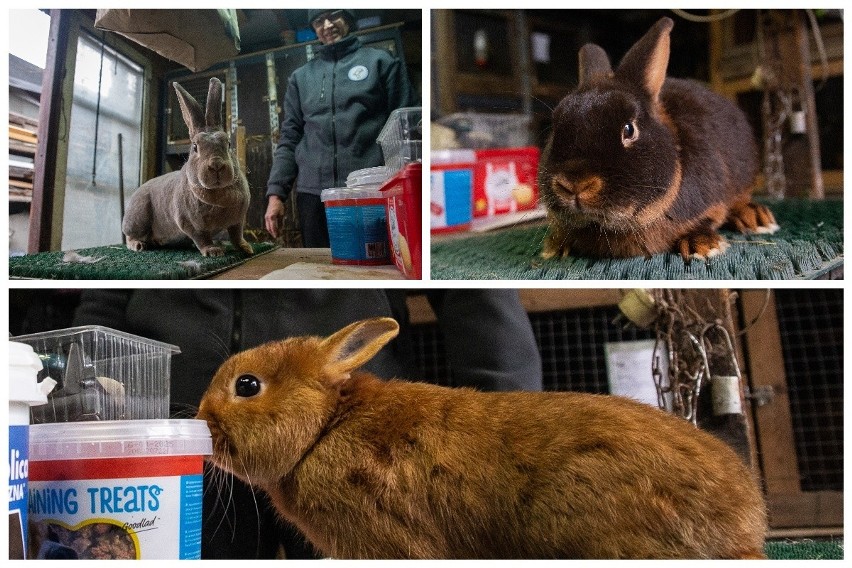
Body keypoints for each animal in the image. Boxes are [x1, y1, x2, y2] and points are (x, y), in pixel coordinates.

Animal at [120, 76, 253, 256]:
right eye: (195, 147)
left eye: (228, 143)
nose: (216, 165)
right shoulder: (190, 224)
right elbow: (201, 238)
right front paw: (213, 251)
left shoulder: (237, 222)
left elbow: (237, 236)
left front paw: (247, 249)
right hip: (137, 218)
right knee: (129, 235)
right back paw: (138, 245)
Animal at [540, 15, 780, 260]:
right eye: (556, 126)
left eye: (629, 130)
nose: (573, 184)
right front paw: (553, 246)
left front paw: (702, 244)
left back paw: (756, 217)